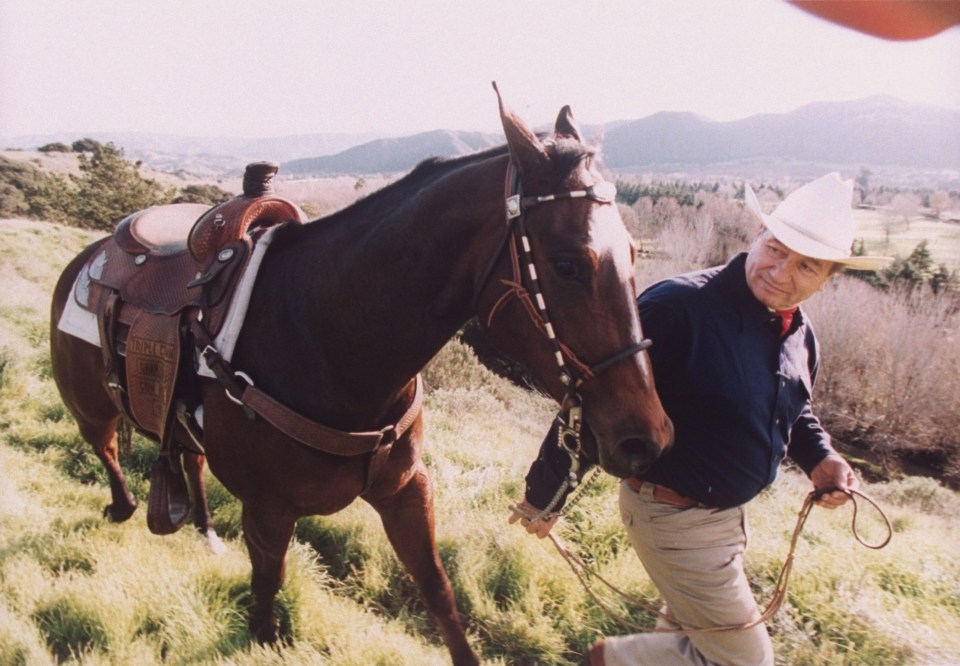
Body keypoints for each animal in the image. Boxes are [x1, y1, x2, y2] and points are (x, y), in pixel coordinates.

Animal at [47, 85, 676, 660]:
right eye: (568, 264)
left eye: (634, 254)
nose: (647, 437)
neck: (328, 341)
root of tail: (93, 255)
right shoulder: (268, 512)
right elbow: (267, 598)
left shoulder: (407, 491)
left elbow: (439, 593)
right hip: (90, 405)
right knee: (105, 445)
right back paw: (125, 506)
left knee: (189, 458)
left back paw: (202, 529)